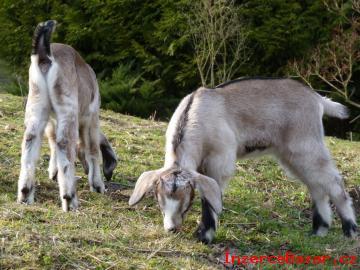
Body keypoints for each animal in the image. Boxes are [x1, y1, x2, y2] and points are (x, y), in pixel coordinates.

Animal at [17, 20, 116, 211]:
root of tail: (45, 55)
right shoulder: (91, 118)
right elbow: (93, 150)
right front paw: (98, 185)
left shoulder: (51, 121)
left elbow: (52, 143)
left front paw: (53, 173)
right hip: (67, 110)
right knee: (64, 144)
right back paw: (70, 199)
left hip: (37, 106)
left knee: (30, 142)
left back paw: (25, 194)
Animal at [129, 77, 358, 243]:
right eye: (159, 199)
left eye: (186, 202)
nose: (171, 229)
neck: (195, 114)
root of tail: (317, 99)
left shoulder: (219, 160)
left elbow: (210, 198)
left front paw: (205, 236)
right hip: (291, 155)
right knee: (316, 185)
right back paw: (319, 231)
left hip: (306, 144)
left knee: (332, 181)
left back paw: (350, 231)